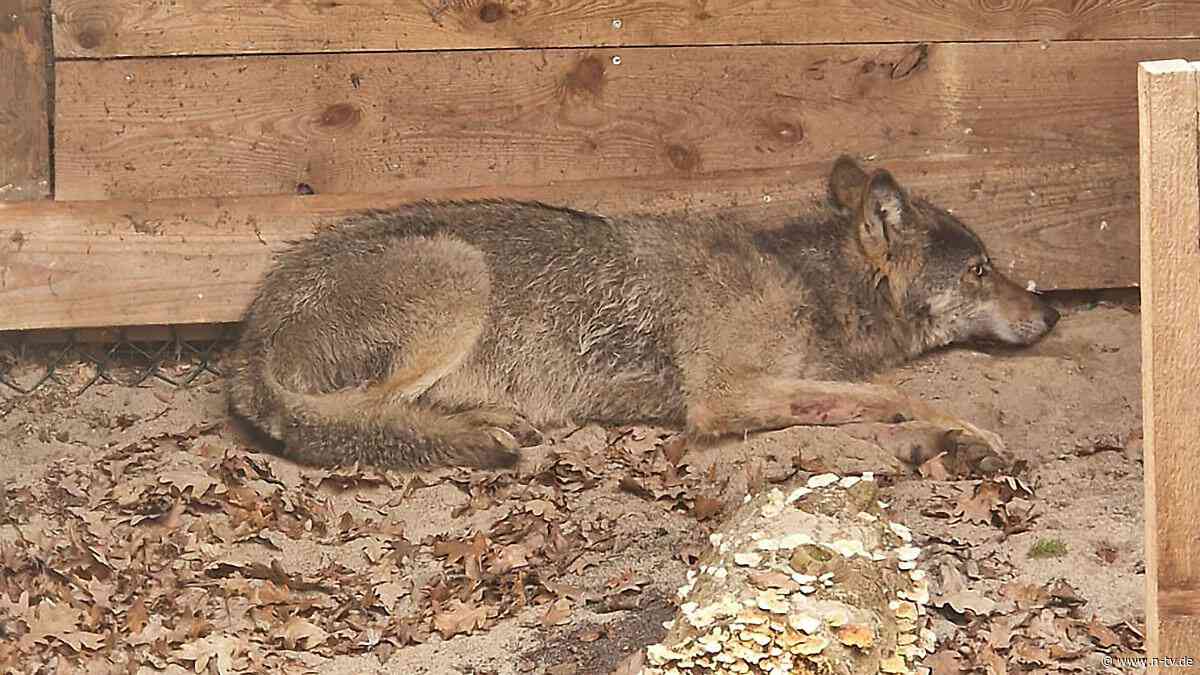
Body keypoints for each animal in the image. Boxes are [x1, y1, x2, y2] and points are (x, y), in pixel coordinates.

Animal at [225, 156, 1059, 472]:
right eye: (982, 270)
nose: (1051, 312)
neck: (806, 281)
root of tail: (249, 334)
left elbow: (875, 399)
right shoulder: (723, 396)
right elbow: (897, 393)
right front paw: (970, 434)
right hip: (459, 273)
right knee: (362, 416)